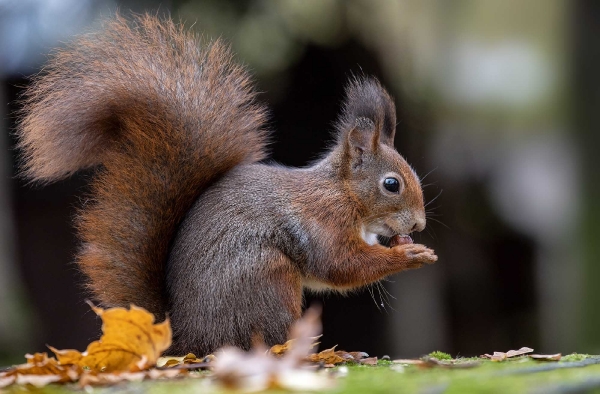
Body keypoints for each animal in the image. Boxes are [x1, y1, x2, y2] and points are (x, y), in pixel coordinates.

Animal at [17, 14, 436, 354]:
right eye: (391, 184)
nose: (418, 224)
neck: (343, 192)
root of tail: (187, 341)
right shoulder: (322, 219)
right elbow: (341, 264)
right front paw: (410, 256)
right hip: (267, 276)